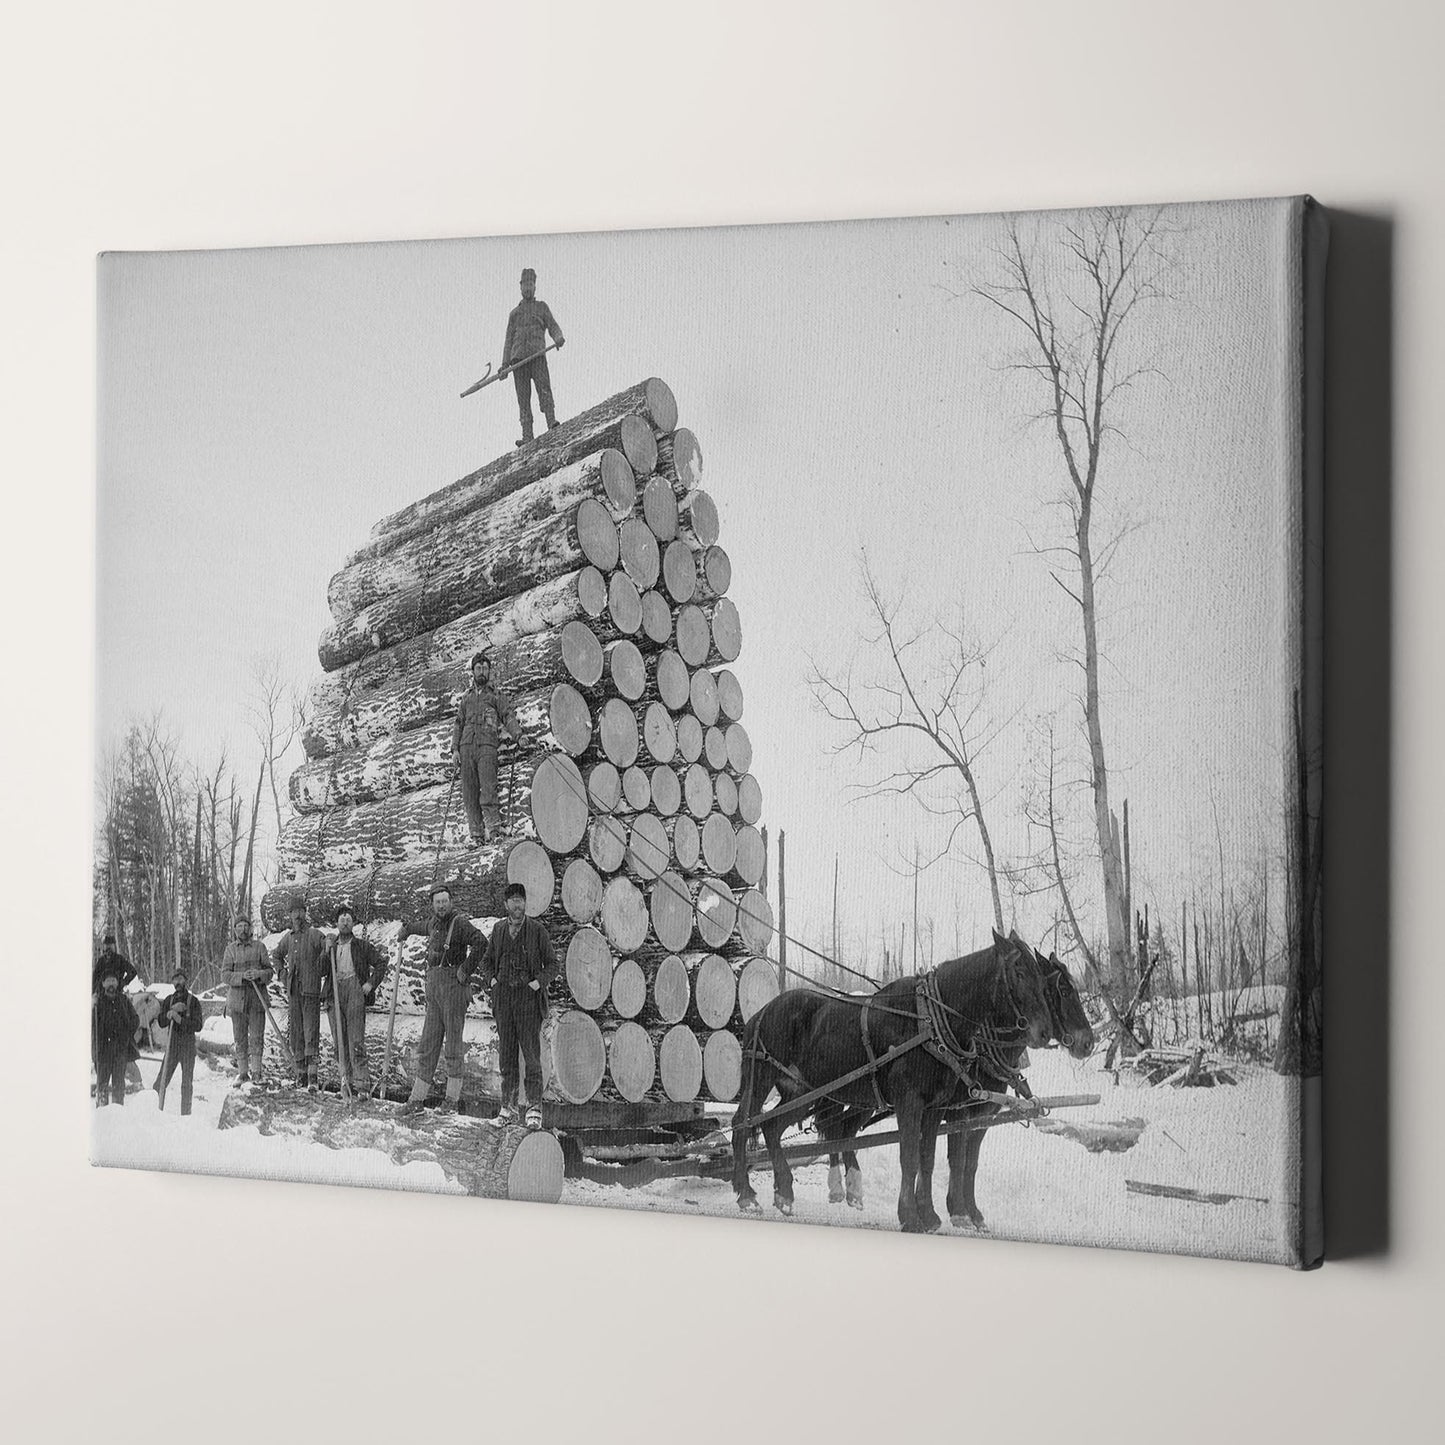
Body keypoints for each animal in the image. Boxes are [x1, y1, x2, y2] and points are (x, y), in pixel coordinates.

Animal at [739, 936, 1057, 1231]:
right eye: (1019, 972)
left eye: (1043, 979)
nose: (1044, 1032)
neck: (929, 1024)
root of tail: (762, 1011)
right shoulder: (910, 1102)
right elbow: (910, 1157)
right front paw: (910, 1217)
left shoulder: (936, 1107)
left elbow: (928, 1158)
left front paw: (929, 1215)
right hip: (762, 1079)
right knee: (742, 1125)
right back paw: (746, 1194)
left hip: (801, 1091)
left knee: (771, 1126)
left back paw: (784, 1193)